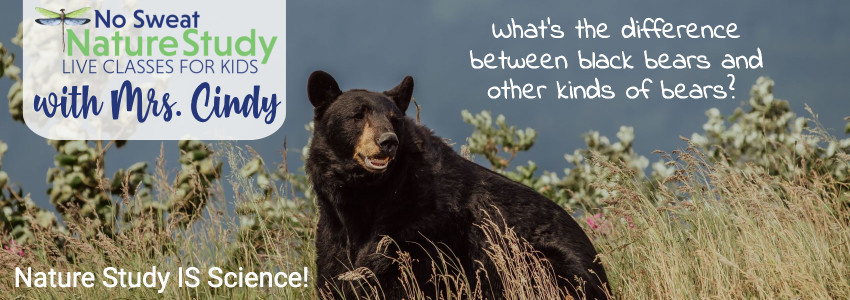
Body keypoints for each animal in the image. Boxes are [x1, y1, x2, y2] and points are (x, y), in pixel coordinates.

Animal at [308, 71, 608, 300]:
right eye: (358, 115)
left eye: (394, 119)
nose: (388, 141)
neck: (368, 196)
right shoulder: (332, 230)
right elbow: (336, 273)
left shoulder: (421, 228)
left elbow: (405, 276)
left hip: (538, 261)